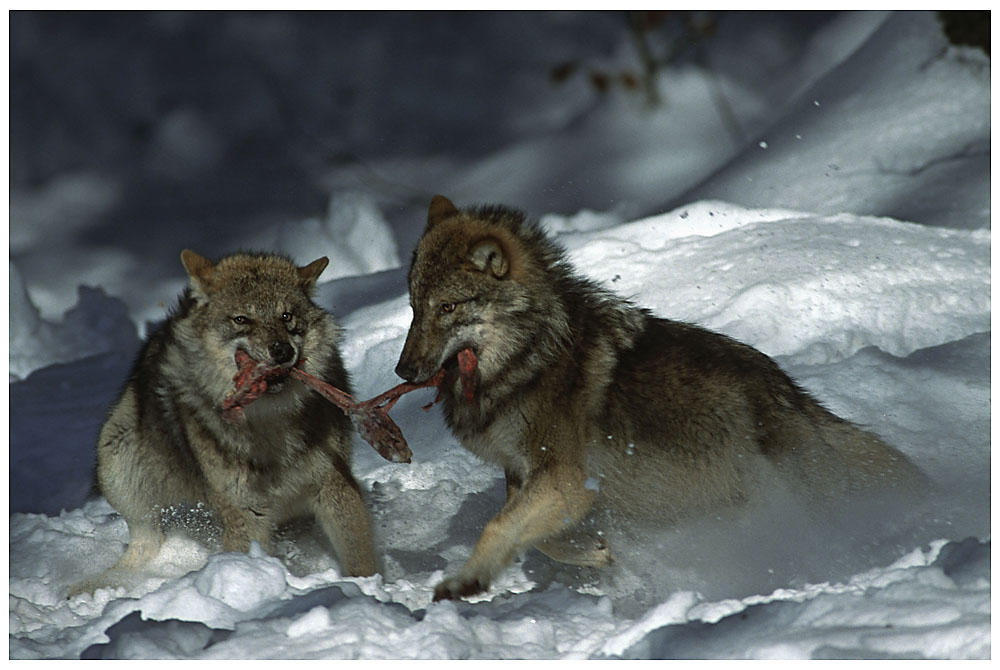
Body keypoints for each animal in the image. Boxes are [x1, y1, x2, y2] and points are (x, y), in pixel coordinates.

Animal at [69, 252, 376, 600]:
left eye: (286, 316)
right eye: (241, 319)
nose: (283, 350)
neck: (270, 424)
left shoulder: (335, 485)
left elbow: (360, 560)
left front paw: (369, 590)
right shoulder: (244, 512)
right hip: (117, 458)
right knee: (145, 543)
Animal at [398, 196, 928, 604]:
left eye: (447, 308)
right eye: (414, 308)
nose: (403, 371)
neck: (533, 354)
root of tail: (794, 396)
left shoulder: (567, 478)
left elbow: (497, 527)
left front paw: (465, 581)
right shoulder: (529, 476)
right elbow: (545, 539)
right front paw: (596, 552)